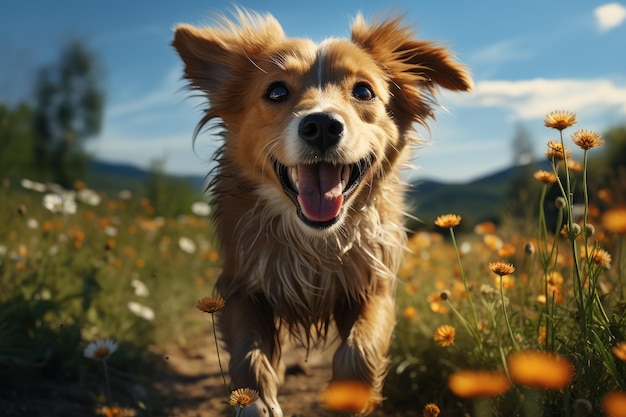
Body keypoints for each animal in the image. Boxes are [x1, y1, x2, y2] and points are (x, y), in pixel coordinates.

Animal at [171, 8, 468, 412]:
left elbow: (360, 349)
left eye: (364, 91)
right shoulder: (239, 286)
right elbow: (248, 353)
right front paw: (257, 402)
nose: (322, 124)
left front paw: (350, 397)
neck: (314, 241)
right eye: (276, 91)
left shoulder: (371, 288)